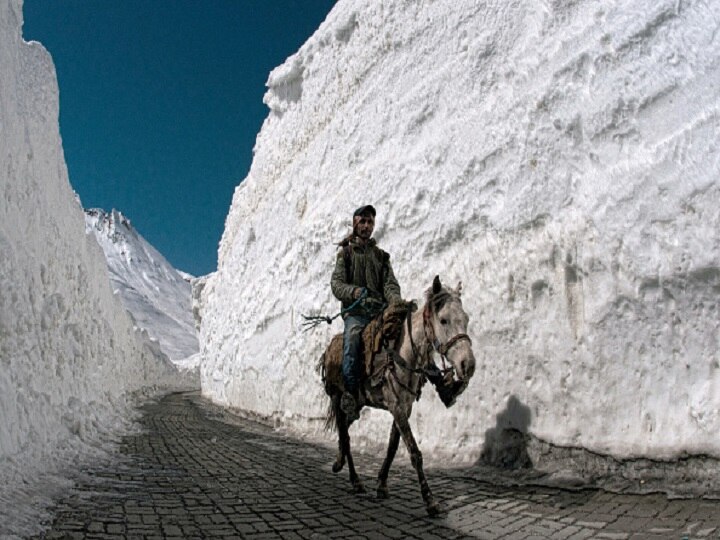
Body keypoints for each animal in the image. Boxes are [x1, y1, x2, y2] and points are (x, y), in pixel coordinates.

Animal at [318, 276, 476, 516]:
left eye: (466, 319)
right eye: (443, 320)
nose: (468, 365)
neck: (403, 355)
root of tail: (328, 351)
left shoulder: (404, 407)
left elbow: (393, 447)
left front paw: (382, 484)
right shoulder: (396, 406)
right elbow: (414, 452)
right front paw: (430, 501)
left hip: (357, 405)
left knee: (344, 428)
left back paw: (339, 462)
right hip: (337, 397)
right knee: (344, 434)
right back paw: (354, 480)